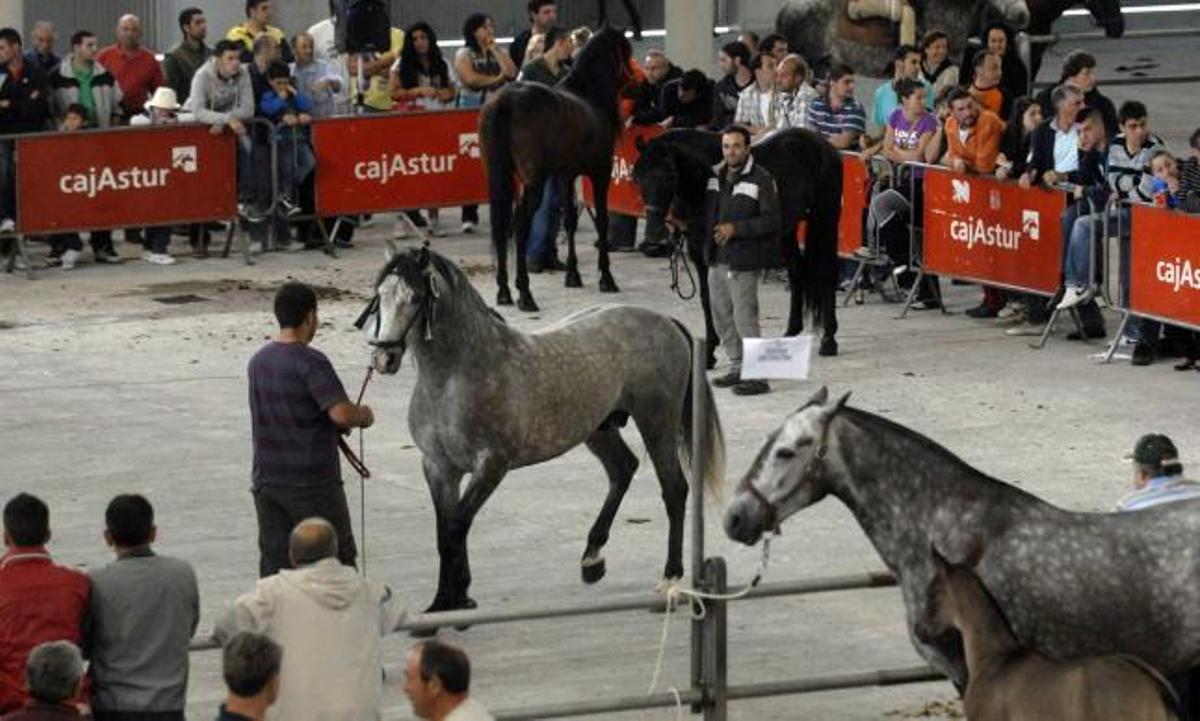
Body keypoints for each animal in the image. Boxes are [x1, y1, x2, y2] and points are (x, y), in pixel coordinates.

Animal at [359, 246, 726, 619]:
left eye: (415, 298)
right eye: (379, 296)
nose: (384, 357)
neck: (455, 376)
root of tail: (665, 321)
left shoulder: (490, 466)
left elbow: (456, 526)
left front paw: (455, 599)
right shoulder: (438, 469)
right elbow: (444, 532)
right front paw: (450, 599)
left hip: (656, 423)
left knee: (674, 489)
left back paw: (669, 580)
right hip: (597, 429)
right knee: (623, 469)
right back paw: (592, 558)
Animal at [480, 26, 641, 313]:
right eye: (627, 52)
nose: (640, 84)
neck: (589, 96)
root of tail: (506, 101)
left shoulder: (566, 175)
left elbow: (569, 222)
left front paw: (573, 276)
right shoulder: (600, 174)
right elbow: (602, 221)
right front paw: (606, 278)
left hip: (500, 178)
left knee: (501, 226)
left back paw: (504, 292)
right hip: (533, 183)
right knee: (520, 224)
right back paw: (525, 294)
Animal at [631, 128, 842, 357]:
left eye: (671, 175)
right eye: (638, 177)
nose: (654, 234)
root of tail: (824, 145)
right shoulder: (699, 252)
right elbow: (707, 297)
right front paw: (709, 352)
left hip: (826, 218)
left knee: (828, 271)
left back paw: (829, 340)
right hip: (786, 231)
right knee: (797, 269)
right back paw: (790, 332)